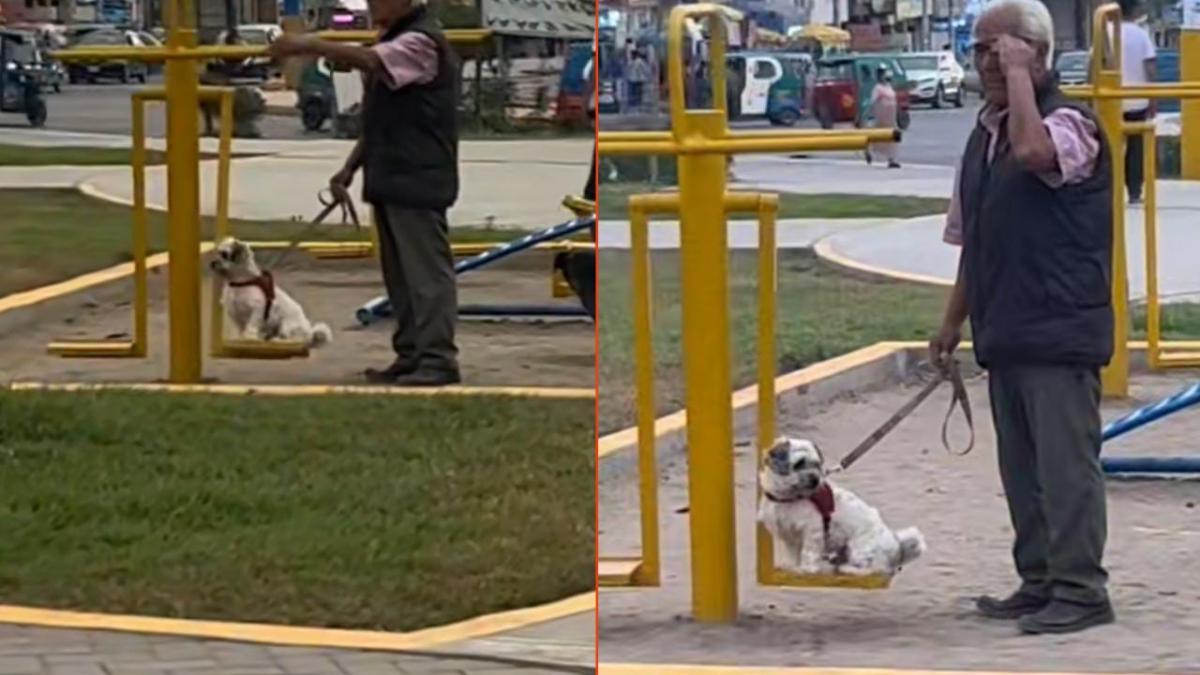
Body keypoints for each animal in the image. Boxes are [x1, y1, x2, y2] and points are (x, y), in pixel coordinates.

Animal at [758, 437, 926, 578]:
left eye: (817, 464)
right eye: (799, 464)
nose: (815, 479)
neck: (788, 498)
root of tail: (897, 547)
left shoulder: (812, 532)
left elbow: (808, 553)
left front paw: (806, 570)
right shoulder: (790, 537)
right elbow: (792, 555)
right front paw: (792, 567)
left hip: (859, 549)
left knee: (875, 569)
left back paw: (847, 568)